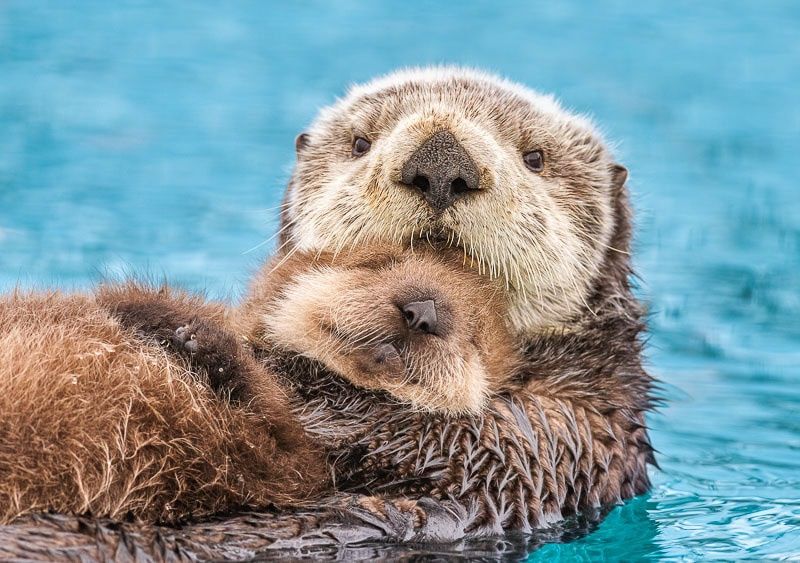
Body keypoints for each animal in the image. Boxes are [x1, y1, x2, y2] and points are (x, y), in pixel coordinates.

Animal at [0, 246, 517, 524]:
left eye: (472, 332)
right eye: (380, 264)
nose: (423, 312)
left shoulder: (287, 467)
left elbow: (279, 445)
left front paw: (200, 340)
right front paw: (157, 316)